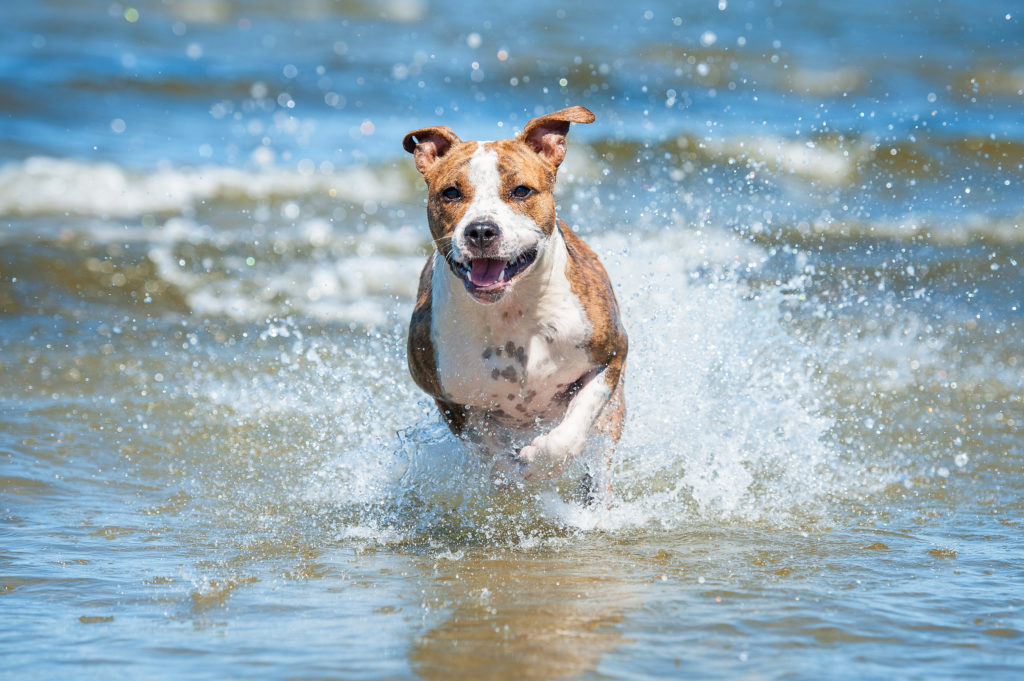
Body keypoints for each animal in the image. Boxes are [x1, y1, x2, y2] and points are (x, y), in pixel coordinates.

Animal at [399, 104, 622, 489]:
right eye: (451, 193)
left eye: (521, 191)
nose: (481, 230)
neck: (511, 312)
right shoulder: (449, 399)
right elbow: (490, 451)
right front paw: (511, 473)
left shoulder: (611, 355)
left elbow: (573, 426)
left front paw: (542, 461)